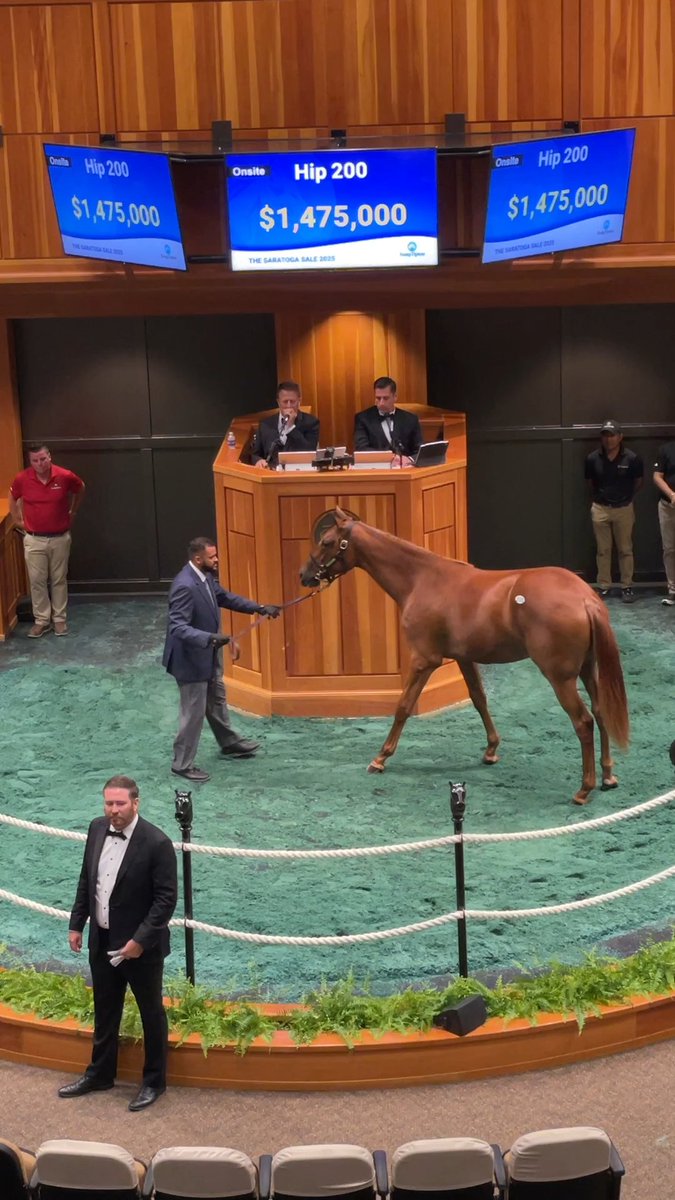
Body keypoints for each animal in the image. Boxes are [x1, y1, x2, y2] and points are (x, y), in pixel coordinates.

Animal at [299, 508, 630, 805]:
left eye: (327, 541)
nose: (304, 575)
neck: (423, 580)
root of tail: (584, 598)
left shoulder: (424, 660)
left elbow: (403, 706)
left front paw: (381, 757)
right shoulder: (464, 658)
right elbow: (479, 698)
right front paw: (491, 750)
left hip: (560, 677)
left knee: (583, 722)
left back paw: (584, 789)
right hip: (588, 669)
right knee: (600, 712)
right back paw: (608, 776)